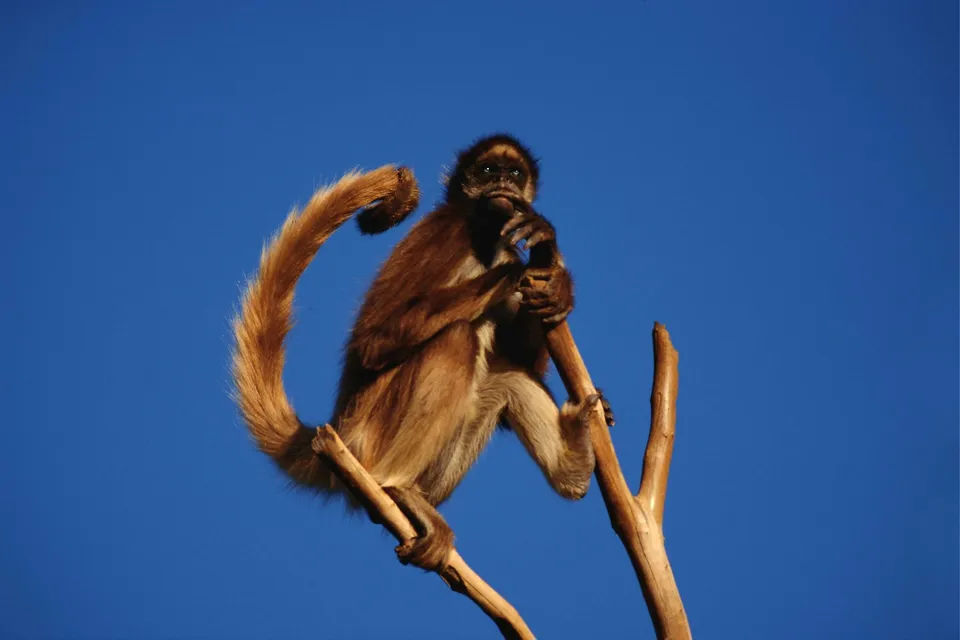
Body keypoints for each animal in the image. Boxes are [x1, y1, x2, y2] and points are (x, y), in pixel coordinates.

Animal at [232, 134, 614, 573]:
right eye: (488, 170)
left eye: (515, 173)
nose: (502, 182)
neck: (484, 237)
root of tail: (343, 427)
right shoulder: (448, 231)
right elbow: (373, 341)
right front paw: (518, 273)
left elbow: (523, 357)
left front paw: (556, 278)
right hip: (375, 431)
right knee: (457, 338)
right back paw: (397, 489)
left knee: (507, 374)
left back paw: (575, 463)